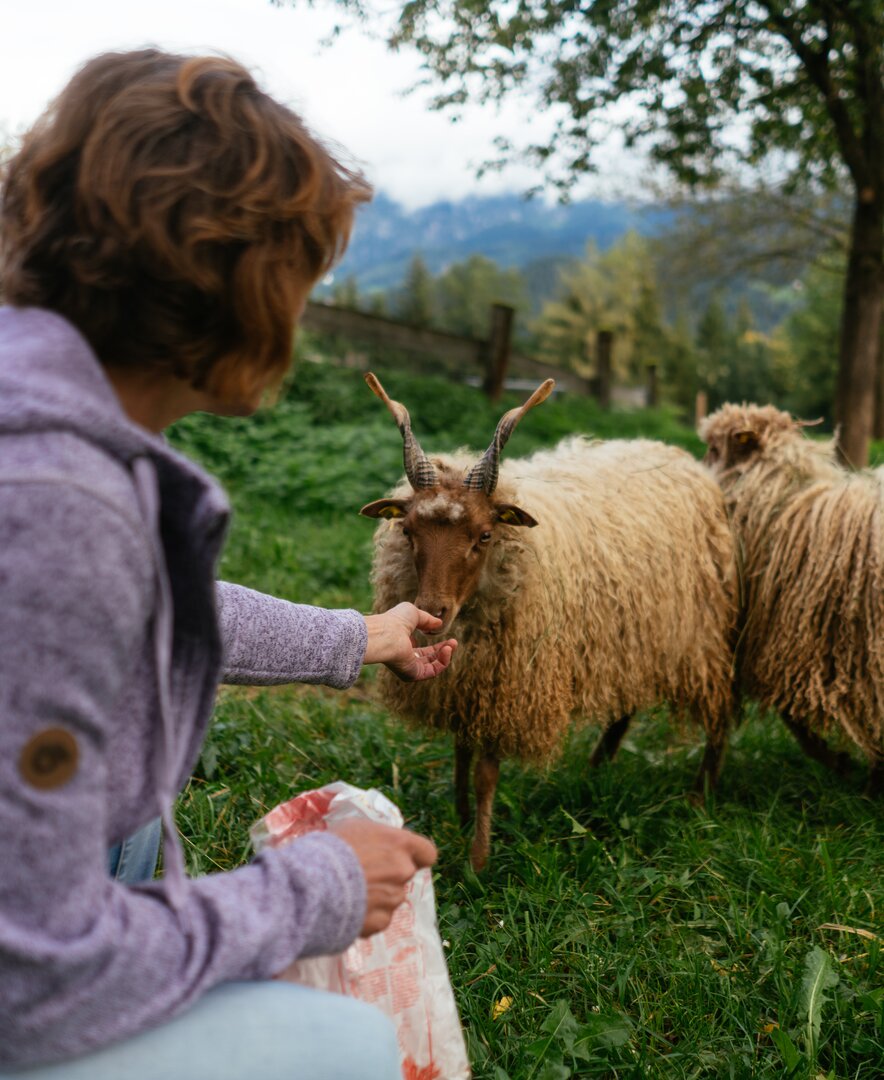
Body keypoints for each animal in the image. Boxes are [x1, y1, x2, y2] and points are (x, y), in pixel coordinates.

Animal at [360, 371, 738, 868]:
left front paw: (478, 859)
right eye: (407, 530)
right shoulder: (468, 682)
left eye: (485, 535)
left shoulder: (511, 686)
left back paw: (701, 793)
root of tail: (676, 455)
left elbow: (485, 773)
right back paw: (597, 768)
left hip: (699, 634)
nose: (433, 611)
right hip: (635, 636)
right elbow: (461, 751)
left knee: (718, 710)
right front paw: (459, 818)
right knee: (625, 707)